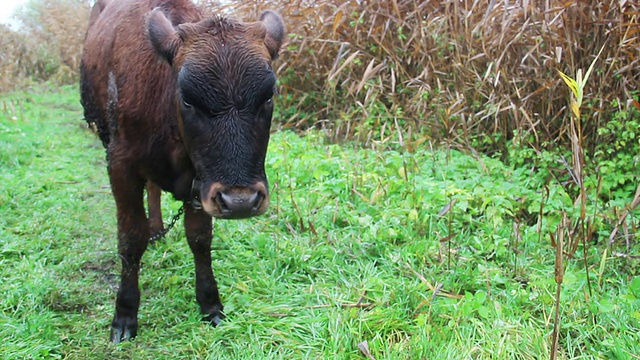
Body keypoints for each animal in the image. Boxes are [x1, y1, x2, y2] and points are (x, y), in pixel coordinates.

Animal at [79, 0, 282, 344]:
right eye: (188, 98)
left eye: (268, 96)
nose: (241, 201)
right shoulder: (120, 164)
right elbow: (130, 239)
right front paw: (125, 315)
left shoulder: (200, 182)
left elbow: (199, 238)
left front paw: (210, 304)